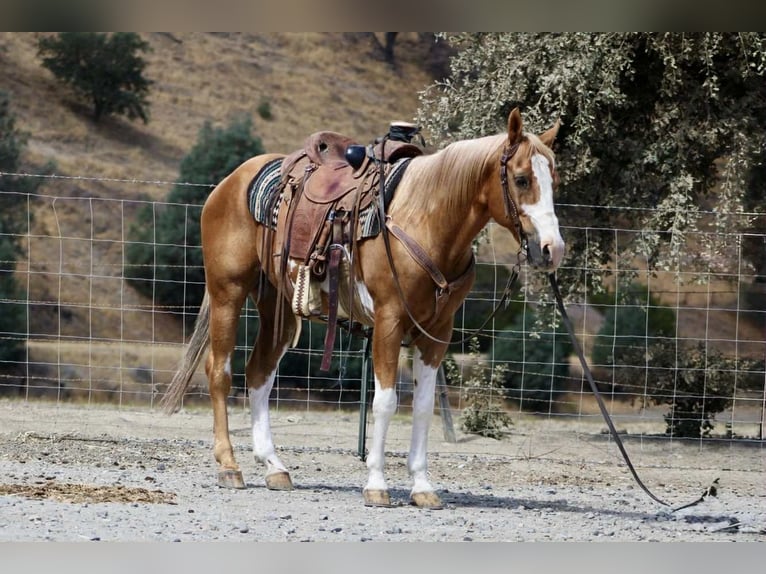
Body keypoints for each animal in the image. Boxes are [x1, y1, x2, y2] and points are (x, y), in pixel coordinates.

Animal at [161, 107, 565, 509]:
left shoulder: (438, 332)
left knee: (259, 373)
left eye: (555, 179)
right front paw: (376, 485)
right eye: (522, 179)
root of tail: (229, 182)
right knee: (220, 371)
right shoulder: (389, 320)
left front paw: (423, 487)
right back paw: (229, 466)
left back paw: (275, 467)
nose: (552, 249)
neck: (426, 220)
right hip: (227, 292)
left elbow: (422, 406)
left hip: (277, 305)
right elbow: (385, 402)